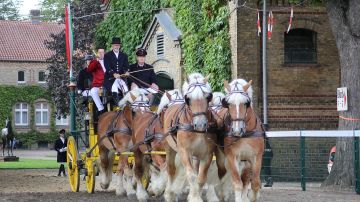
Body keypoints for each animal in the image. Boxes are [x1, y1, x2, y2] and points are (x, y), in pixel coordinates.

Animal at [164, 73, 228, 202]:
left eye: (208, 97)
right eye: (187, 98)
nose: (200, 124)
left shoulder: (207, 154)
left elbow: (201, 177)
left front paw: (194, 195)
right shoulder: (184, 151)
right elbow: (192, 175)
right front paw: (195, 197)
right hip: (170, 149)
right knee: (171, 170)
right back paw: (169, 194)